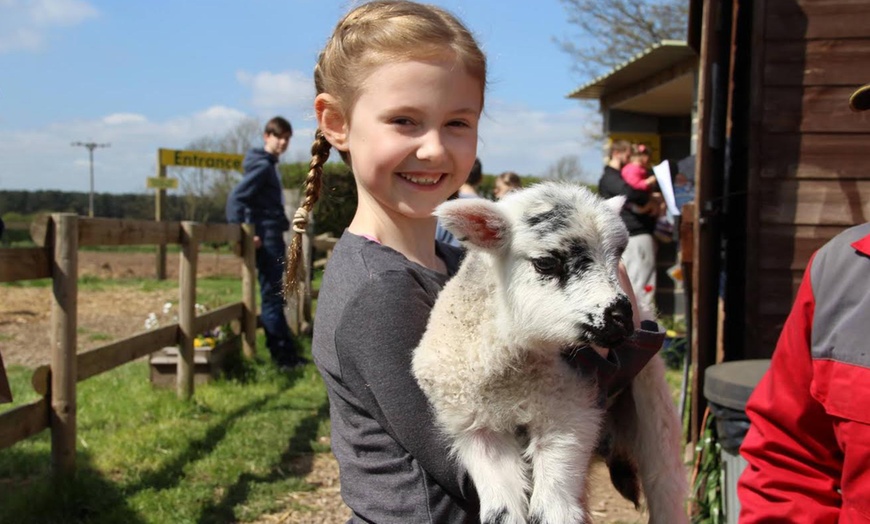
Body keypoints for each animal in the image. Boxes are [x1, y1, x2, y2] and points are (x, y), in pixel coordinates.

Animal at [410, 181, 688, 524]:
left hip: (656, 414)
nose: (623, 317)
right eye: (545, 262)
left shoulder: (568, 416)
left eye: (618, 255)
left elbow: (554, 508)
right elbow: (501, 512)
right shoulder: (477, 431)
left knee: (665, 484)